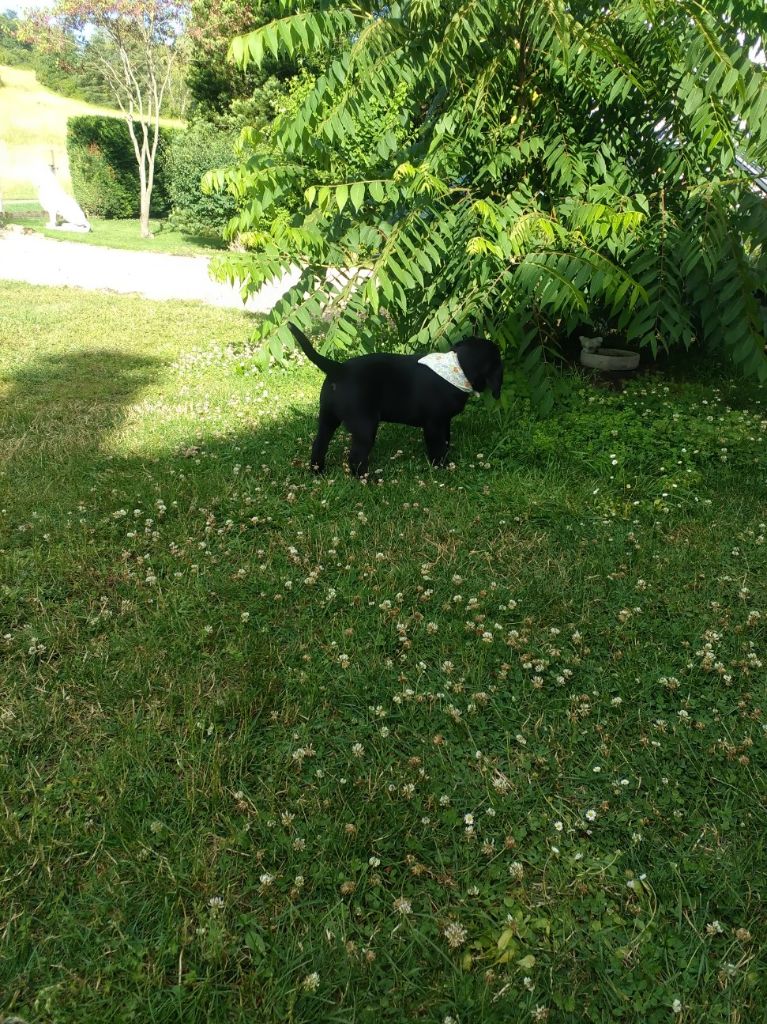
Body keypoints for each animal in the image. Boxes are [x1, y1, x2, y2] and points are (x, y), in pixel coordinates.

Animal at [286, 323, 501, 475]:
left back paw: (318, 472)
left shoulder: (444, 422)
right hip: (365, 426)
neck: (457, 368)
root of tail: (339, 369)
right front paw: (442, 467)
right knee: (355, 458)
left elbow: (446, 440)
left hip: (327, 419)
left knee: (318, 445)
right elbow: (437, 447)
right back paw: (369, 480)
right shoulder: (434, 424)